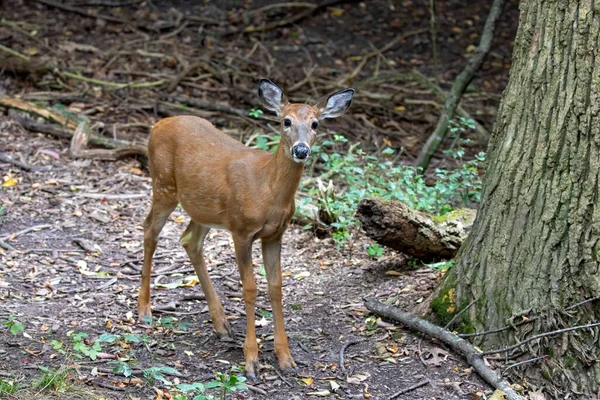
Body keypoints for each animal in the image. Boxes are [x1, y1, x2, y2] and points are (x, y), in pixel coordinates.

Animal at [138, 79, 354, 382]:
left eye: (315, 124)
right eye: (286, 121)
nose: (301, 150)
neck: (268, 191)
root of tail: (157, 125)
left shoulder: (275, 234)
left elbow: (276, 287)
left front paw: (286, 358)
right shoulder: (241, 230)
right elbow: (250, 288)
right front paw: (251, 360)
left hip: (203, 208)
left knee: (189, 240)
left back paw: (221, 324)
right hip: (163, 184)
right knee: (150, 230)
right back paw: (145, 309)